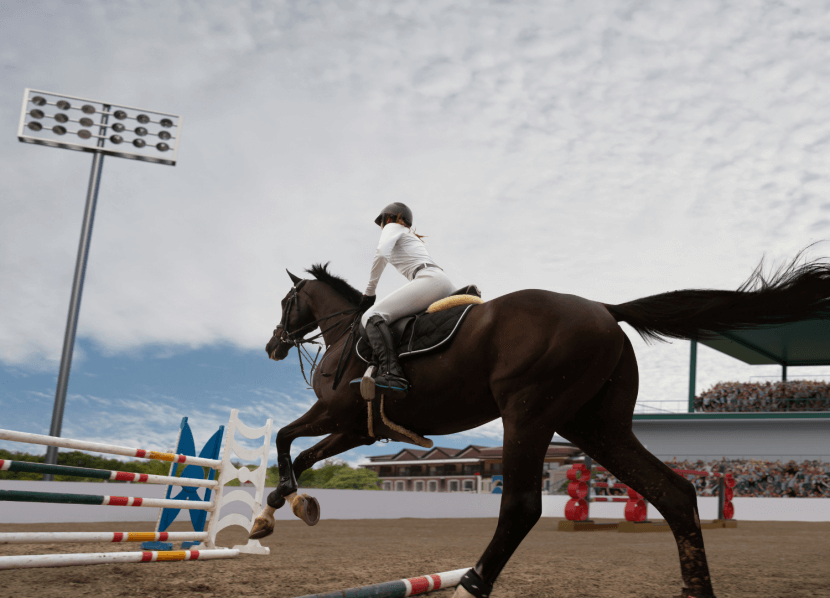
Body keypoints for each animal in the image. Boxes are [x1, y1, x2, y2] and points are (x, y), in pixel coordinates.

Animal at [250, 255, 830, 598]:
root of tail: (605, 307)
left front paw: (279, 508)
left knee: (522, 506)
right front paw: (280, 510)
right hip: (596, 426)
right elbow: (300, 457)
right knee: (674, 492)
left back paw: (472, 584)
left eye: (285, 301)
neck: (348, 335)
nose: (274, 345)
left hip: (528, 414)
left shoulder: (336, 416)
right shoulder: (358, 430)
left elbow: (284, 438)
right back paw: (695, 590)